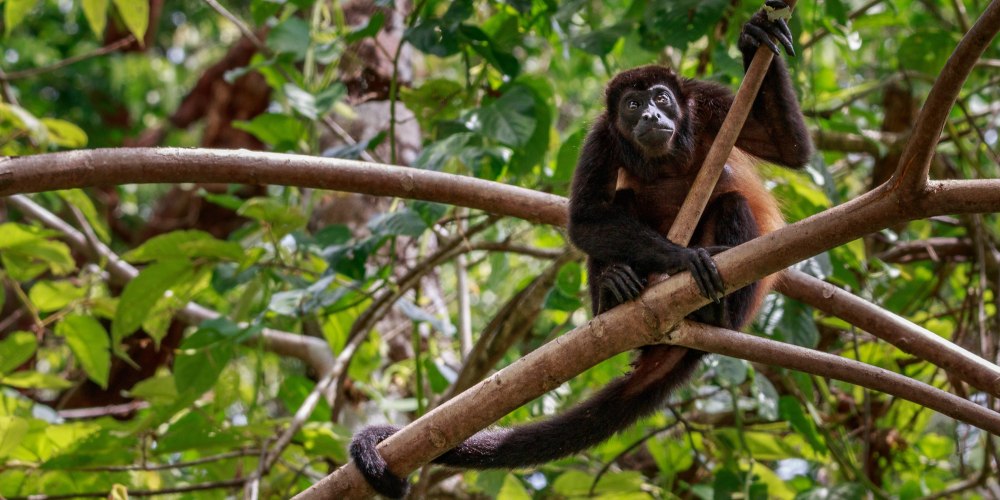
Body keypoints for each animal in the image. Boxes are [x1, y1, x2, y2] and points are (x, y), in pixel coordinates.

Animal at [352, 2, 812, 496]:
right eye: (633, 105)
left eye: (662, 98)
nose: (651, 117)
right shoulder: (602, 137)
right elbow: (587, 219)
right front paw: (680, 258)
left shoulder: (708, 103)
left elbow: (790, 149)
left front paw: (756, 34)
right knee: (619, 205)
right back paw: (614, 294)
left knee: (732, 202)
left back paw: (714, 313)